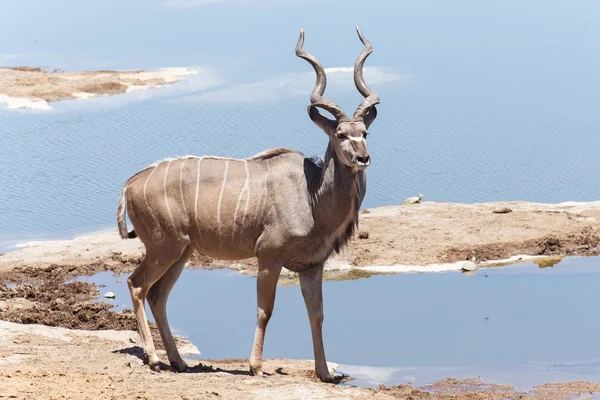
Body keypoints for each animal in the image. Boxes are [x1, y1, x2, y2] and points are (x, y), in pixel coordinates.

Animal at [117, 26, 380, 382]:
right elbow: (265, 309)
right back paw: (155, 358)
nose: (363, 158)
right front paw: (255, 366)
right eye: (339, 134)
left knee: (158, 295)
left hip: (181, 251)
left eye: (364, 132)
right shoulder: (268, 255)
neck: (312, 195)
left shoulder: (312, 266)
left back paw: (179, 361)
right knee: (136, 285)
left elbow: (317, 314)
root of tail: (130, 185)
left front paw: (325, 373)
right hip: (163, 247)